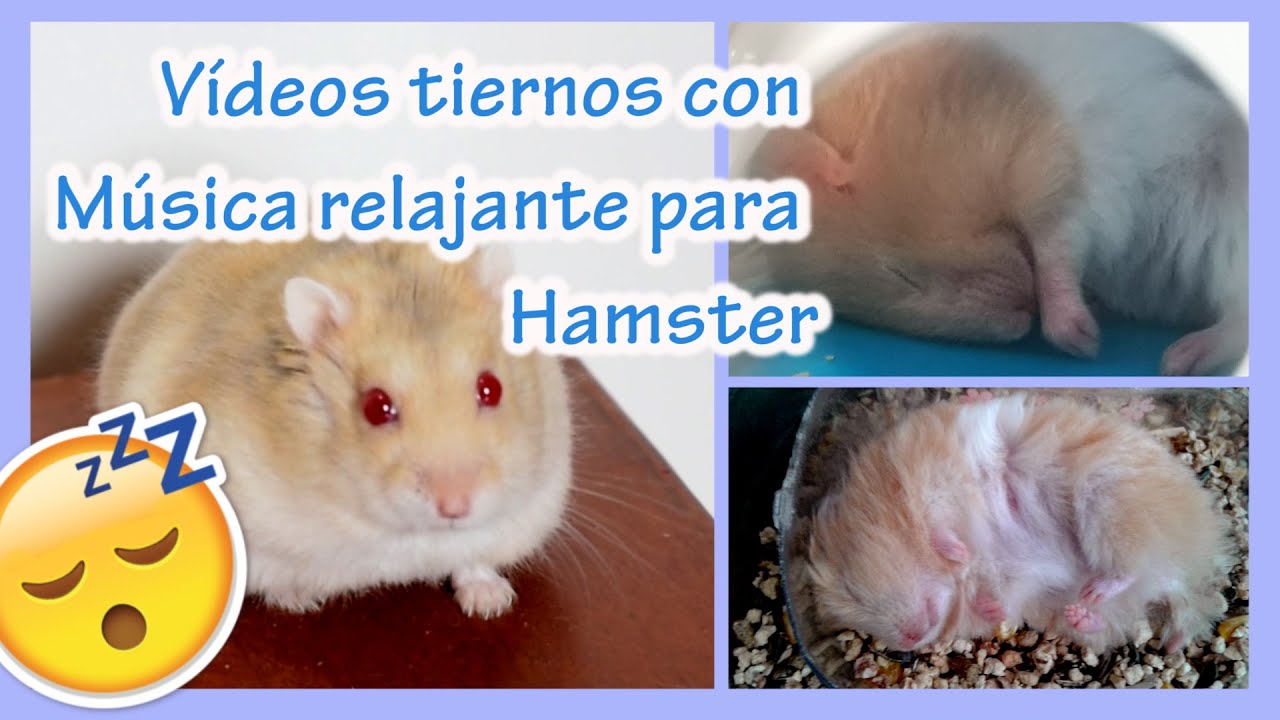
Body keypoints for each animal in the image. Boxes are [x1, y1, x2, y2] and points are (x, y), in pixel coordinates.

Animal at [96, 239, 573, 618]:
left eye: (491, 388)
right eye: (376, 407)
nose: (456, 506)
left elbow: (473, 559)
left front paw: (493, 604)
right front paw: (300, 600)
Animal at [735, 23, 1248, 375]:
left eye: (900, 274)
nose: (1024, 316)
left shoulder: (1055, 164)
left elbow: (1056, 248)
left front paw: (1082, 341)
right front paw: (1087, 330)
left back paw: (1179, 359)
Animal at [807, 394, 1234, 653]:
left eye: (852, 590)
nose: (910, 642)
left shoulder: (929, 473)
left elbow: (939, 521)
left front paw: (957, 550)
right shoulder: (1016, 579)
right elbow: (1000, 599)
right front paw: (990, 606)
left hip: (1110, 501)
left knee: (1131, 567)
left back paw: (1101, 589)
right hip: (1086, 590)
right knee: (1115, 611)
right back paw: (1086, 613)